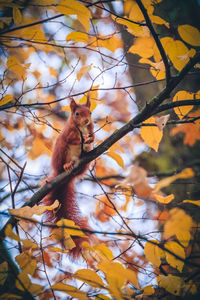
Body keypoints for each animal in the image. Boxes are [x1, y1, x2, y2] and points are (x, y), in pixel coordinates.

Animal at [42, 95, 94, 258]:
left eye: (90, 112)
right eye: (77, 113)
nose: (86, 121)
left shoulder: (91, 127)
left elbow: (92, 135)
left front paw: (91, 139)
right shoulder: (69, 133)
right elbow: (74, 139)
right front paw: (84, 138)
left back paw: (86, 150)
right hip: (62, 151)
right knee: (64, 160)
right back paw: (66, 166)